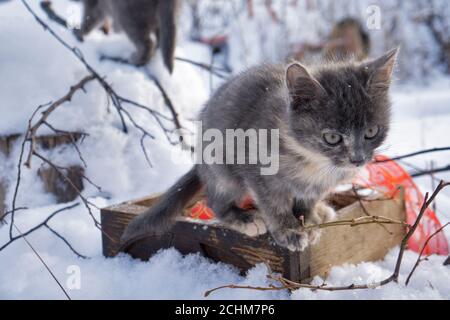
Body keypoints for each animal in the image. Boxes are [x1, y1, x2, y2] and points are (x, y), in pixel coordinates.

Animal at [121, 48, 400, 251]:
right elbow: (274, 203)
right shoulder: (256, 167)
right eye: (332, 137)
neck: (313, 160)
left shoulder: (320, 184)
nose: (357, 159)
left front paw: (310, 218)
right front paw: (289, 231)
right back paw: (242, 218)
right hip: (221, 168)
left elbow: (308, 199)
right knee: (216, 199)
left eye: (371, 132)